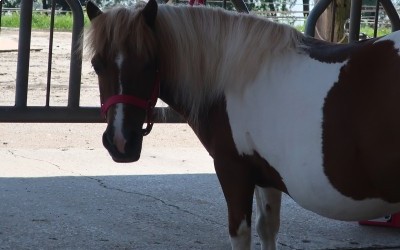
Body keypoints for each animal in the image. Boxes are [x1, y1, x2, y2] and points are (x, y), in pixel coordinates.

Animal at [86, 0, 400, 249]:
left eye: (150, 64)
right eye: (97, 64)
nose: (120, 143)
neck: (235, 77)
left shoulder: (233, 170)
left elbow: (240, 232)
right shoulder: (266, 176)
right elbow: (267, 228)